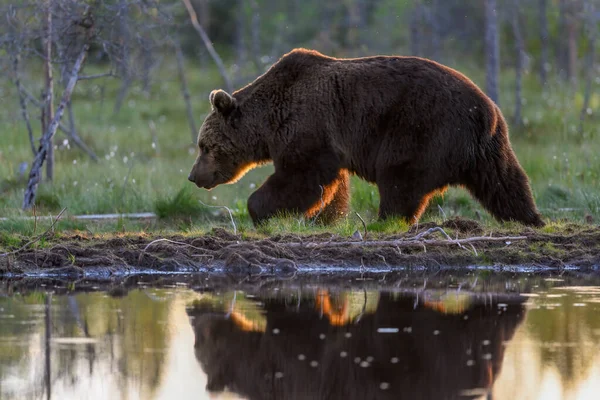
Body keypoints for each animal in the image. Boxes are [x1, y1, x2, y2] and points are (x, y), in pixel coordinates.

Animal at [188, 48, 544, 227]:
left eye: (205, 146)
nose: (193, 176)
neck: (270, 121)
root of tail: (485, 109)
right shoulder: (330, 145)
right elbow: (329, 186)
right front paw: (326, 217)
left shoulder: (309, 128)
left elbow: (300, 178)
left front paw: (261, 210)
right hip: (489, 147)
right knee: (503, 182)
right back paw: (529, 218)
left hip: (419, 128)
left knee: (401, 181)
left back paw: (383, 221)